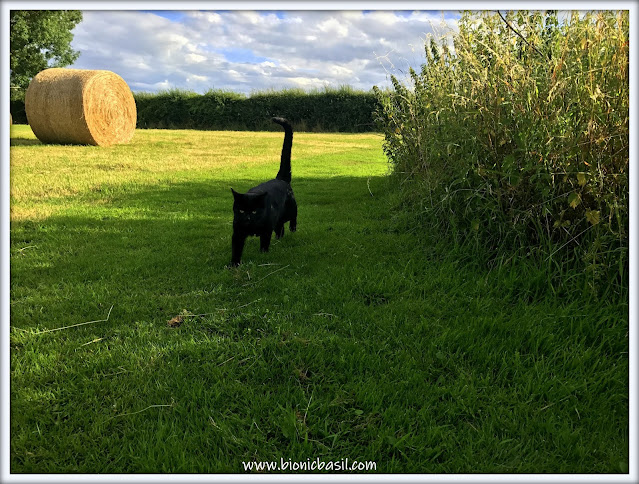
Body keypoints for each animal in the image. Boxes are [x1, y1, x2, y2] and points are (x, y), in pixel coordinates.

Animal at [230, 118, 298, 268]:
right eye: (241, 210)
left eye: (255, 211)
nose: (248, 218)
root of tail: (281, 179)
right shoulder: (237, 231)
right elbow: (236, 249)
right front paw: (233, 265)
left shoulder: (266, 230)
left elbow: (264, 244)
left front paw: (263, 256)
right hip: (278, 219)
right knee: (280, 229)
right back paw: (279, 240)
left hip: (290, 210)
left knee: (293, 219)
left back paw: (292, 230)